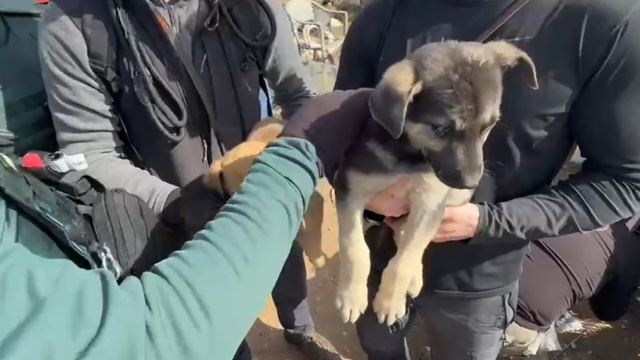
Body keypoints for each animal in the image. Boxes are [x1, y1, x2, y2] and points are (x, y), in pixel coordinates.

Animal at [332, 40, 536, 326]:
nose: (471, 183)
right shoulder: (350, 186)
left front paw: (390, 301)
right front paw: (351, 297)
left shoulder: (429, 202)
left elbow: (405, 258)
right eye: (439, 129)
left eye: (488, 126)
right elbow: (354, 247)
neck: (408, 155)